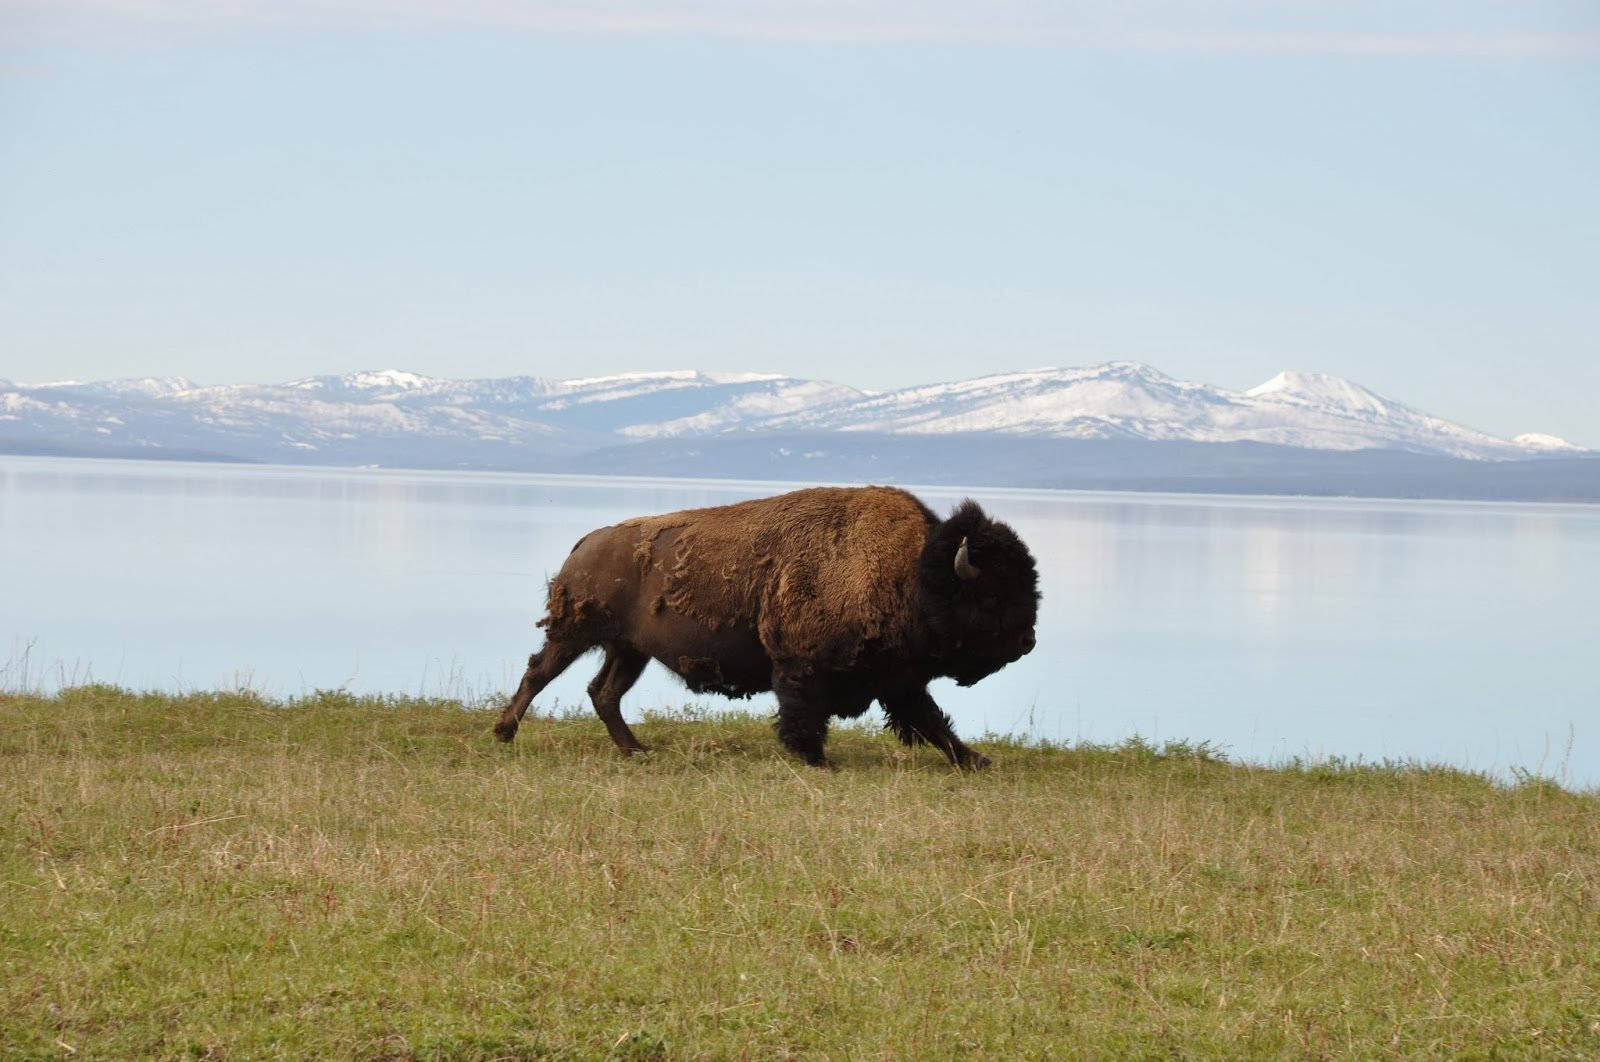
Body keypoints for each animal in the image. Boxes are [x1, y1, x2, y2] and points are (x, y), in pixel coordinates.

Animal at [492, 486, 1036, 767]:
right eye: (991, 595)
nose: (1027, 642)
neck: (914, 572)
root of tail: (587, 542)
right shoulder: (803, 669)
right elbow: (804, 715)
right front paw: (816, 760)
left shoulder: (899, 681)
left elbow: (932, 721)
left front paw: (974, 760)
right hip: (574, 633)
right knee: (539, 672)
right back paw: (503, 732)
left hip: (630, 650)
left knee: (603, 692)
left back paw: (636, 750)